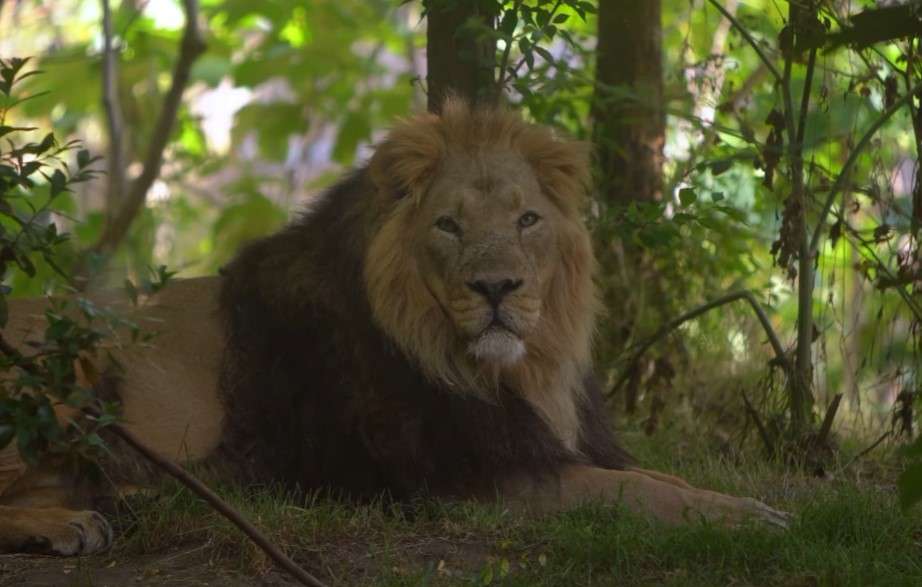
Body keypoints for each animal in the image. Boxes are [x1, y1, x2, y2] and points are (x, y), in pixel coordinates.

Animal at [0, 100, 788, 556]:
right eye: (449, 226)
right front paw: (753, 516)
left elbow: (657, 475)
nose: (497, 288)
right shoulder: (473, 482)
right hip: (67, 368)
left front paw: (753, 502)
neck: (516, 370)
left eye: (527, 220)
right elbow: (641, 495)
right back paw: (71, 524)